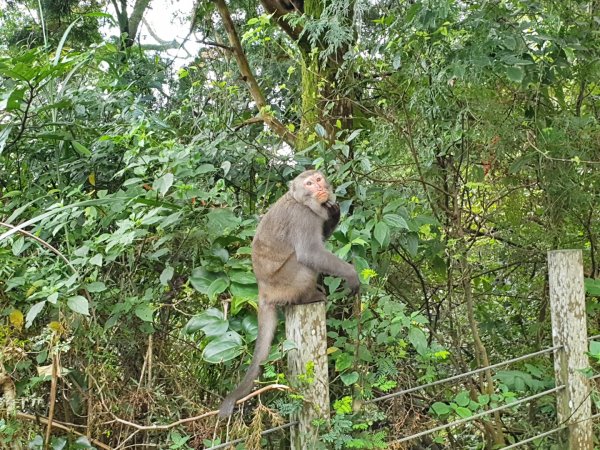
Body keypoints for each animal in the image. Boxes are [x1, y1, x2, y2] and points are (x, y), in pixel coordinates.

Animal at [221, 171, 360, 416]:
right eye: (309, 183)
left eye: (318, 179)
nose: (320, 187)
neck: (302, 202)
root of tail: (263, 290)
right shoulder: (302, 217)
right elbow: (311, 253)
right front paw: (351, 274)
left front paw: (334, 212)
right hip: (286, 282)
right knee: (302, 263)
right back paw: (309, 296)